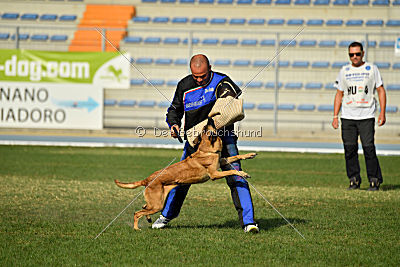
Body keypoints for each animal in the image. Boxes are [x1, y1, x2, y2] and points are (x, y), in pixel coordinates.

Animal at [114, 119, 256, 230]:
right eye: (207, 126)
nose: (209, 118)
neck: (207, 150)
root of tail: (147, 179)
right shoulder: (214, 174)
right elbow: (232, 170)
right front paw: (243, 173)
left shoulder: (221, 161)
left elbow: (235, 157)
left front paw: (250, 155)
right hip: (157, 204)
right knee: (137, 213)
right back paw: (136, 228)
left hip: (157, 200)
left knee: (144, 207)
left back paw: (148, 218)